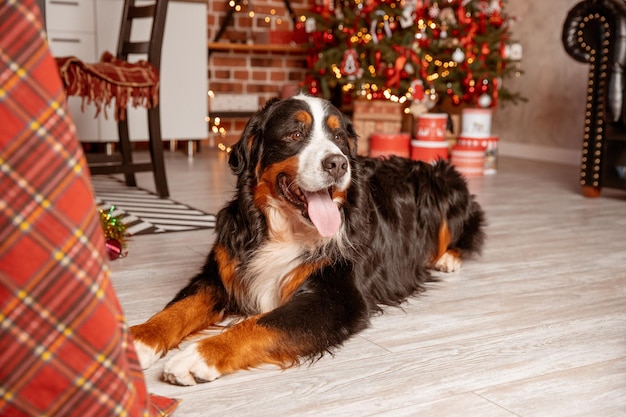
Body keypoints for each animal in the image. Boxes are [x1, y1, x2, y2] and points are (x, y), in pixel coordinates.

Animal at [130, 93, 482, 384]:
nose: (338, 163)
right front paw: (136, 339)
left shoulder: (338, 299)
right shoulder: (219, 272)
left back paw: (447, 258)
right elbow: (177, 309)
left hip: (442, 181)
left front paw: (197, 355)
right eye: (295, 135)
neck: (285, 230)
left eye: (338, 137)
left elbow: (262, 323)